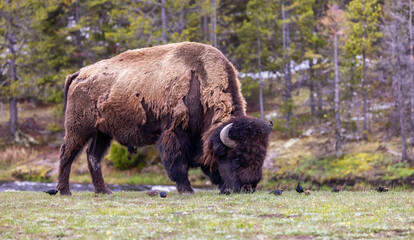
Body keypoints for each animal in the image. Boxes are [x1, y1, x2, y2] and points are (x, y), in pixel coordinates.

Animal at [57, 41, 272, 195]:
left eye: (261, 156)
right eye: (236, 157)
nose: (249, 187)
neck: (201, 83)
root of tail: (79, 73)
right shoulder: (175, 132)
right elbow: (178, 162)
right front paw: (187, 190)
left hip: (102, 133)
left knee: (93, 156)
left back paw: (104, 191)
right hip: (79, 128)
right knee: (67, 153)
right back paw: (65, 191)